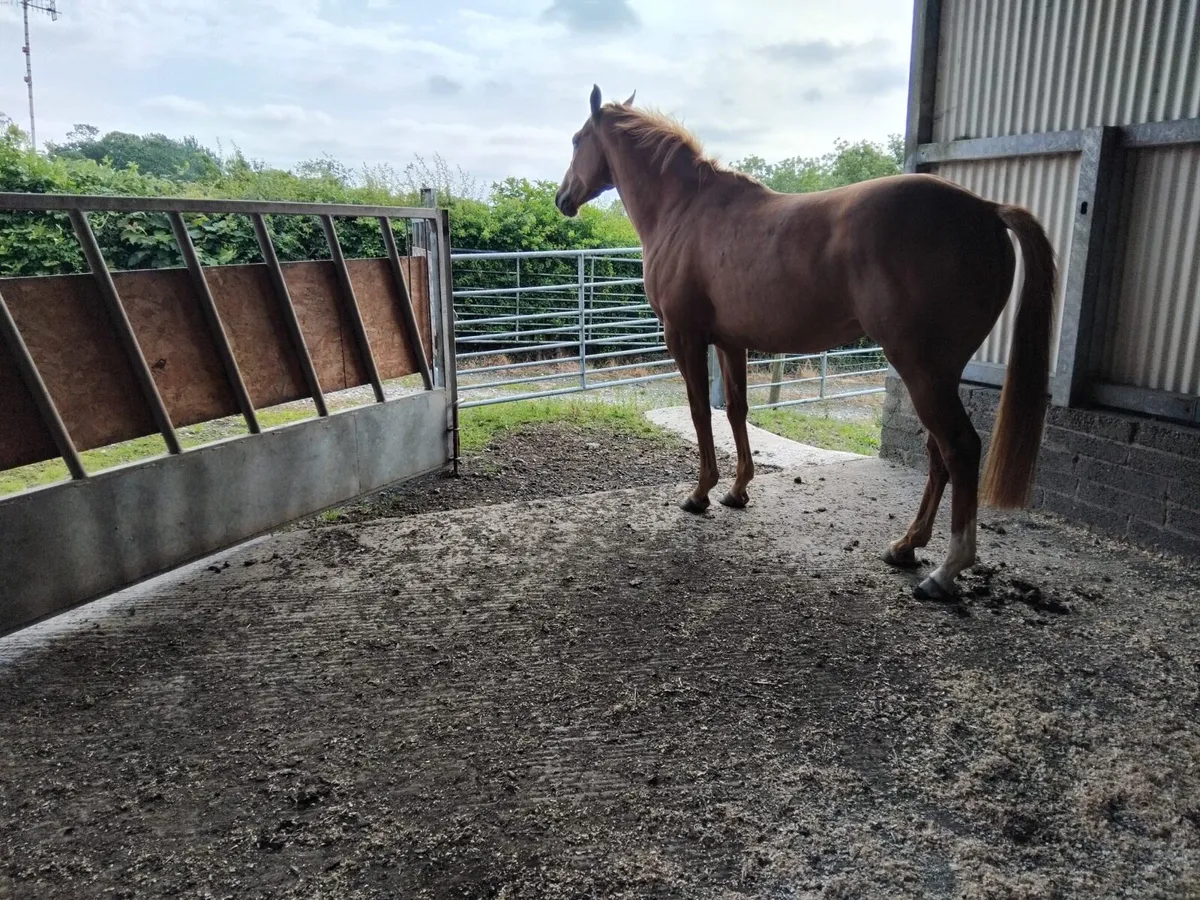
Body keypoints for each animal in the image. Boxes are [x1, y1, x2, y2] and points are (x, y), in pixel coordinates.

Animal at [553, 85, 1056, 601]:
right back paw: (906, 545)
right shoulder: (730, 342)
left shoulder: (685, 337)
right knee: (940, 453)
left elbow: (699, 413)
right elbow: (736, 411)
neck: (685, 210)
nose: (562, 197)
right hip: (937, 373)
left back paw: (946, 570)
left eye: (576, 139)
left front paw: (700, 493)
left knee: (960, 448)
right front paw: (737, 490)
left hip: (922, 370)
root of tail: (987, 210)